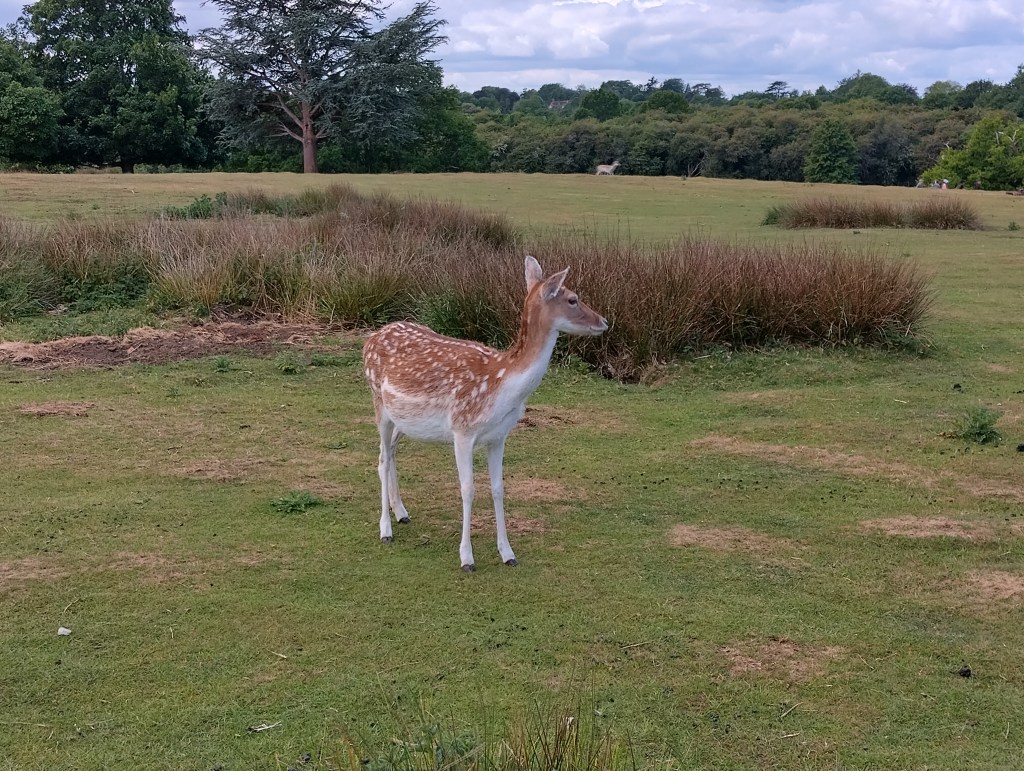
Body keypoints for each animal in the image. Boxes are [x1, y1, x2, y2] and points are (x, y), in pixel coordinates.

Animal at [363, 256, 608, 572]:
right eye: (573, 299)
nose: (604, 322)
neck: (502, 386)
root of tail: (370, 338)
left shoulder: (499, 436)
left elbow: (498, 488)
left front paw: (508, 553)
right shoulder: (462, 430)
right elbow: (468, 489)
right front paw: (467, 558)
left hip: (402, 419)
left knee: (392, 453)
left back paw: (402, 512)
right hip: (378, 402)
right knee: (381, 459)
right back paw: (386, 530)